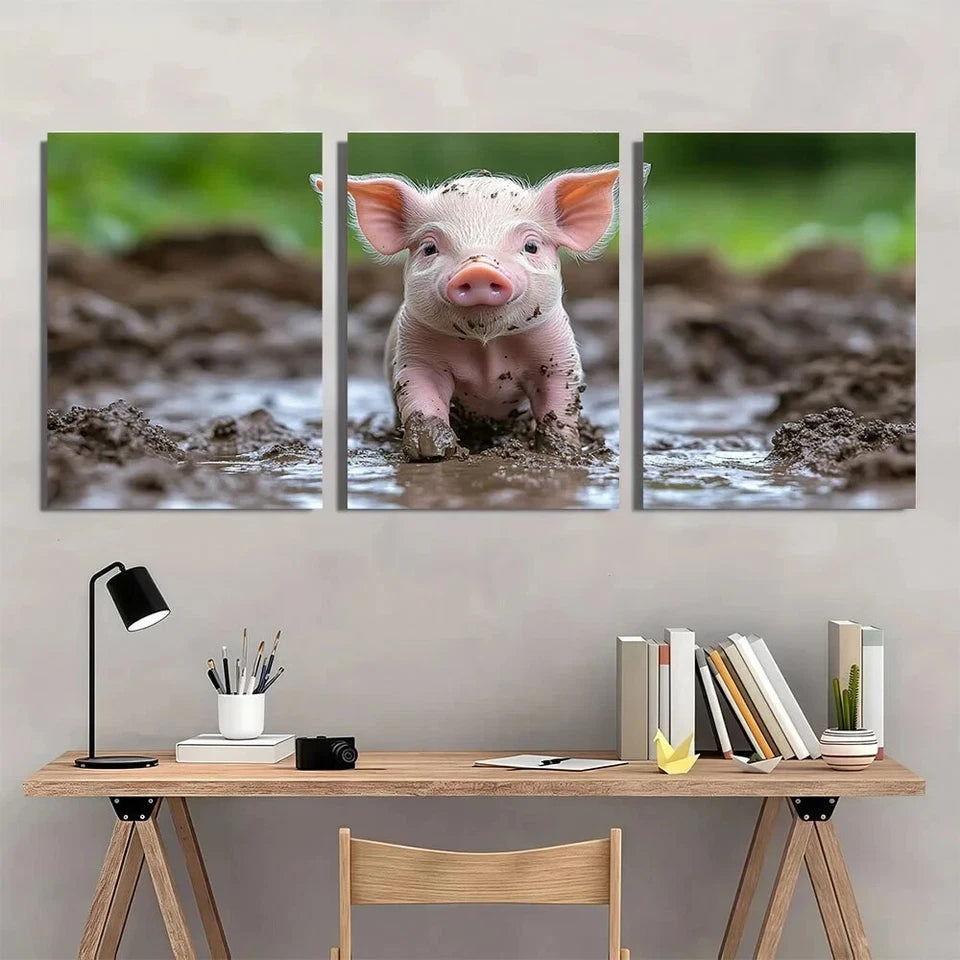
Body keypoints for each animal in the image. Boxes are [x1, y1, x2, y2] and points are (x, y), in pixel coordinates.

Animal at [310, 165, 619, 461]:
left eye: (531, 246)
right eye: (429, 248)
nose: (479, 269)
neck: (485, 347)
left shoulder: (558, 357)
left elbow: (558, 403)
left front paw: (562, 453)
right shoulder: (415, 355)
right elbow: (423, 397)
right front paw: (432, 454)